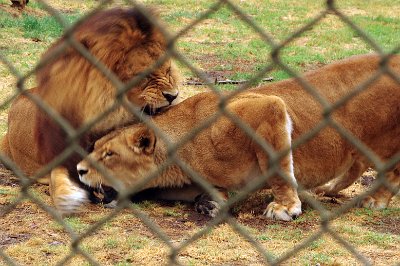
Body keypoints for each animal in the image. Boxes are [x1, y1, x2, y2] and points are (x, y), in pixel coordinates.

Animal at [77, 53, 400, 220]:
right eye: (95, 147)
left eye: (109, 154)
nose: (79, 170)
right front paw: (210, 202)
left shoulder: (268, 107)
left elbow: (279, 170)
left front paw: (285, 207)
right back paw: (329, 189)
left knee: (391, 172)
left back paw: (375, 200)